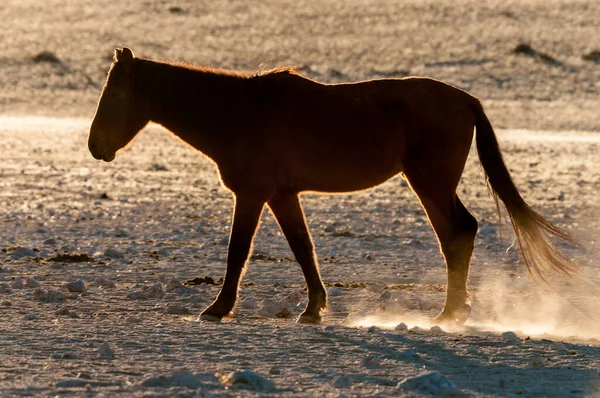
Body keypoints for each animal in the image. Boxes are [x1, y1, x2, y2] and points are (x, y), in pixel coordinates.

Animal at [89, 47, 576, 324]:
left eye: (114, 94)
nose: (96, 146)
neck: (240, 112)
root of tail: (466, 100)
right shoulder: (282, 195)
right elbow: (303, 248)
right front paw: (313, 308)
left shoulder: (252, 194)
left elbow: (238, 251)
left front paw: (217, 309)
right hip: (433, 185)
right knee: (463, 233)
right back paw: (456, 309)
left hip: (430, 185)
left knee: (456, 236)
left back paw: (449, 313)